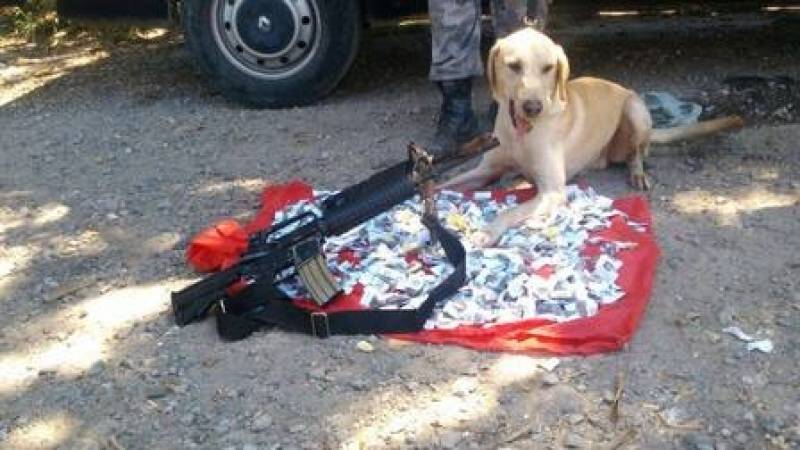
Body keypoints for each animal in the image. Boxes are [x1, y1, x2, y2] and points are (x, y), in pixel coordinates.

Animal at [440, 27, 740, 246]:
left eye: (548, 68)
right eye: (513, 66)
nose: (533, 107)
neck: (519, 133)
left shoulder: (552, 191)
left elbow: (510, 210)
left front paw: (487, 232)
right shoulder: (486, 170)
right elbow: (444, 185)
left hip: (635, 109)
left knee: (636, 154)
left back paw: (638, 173)